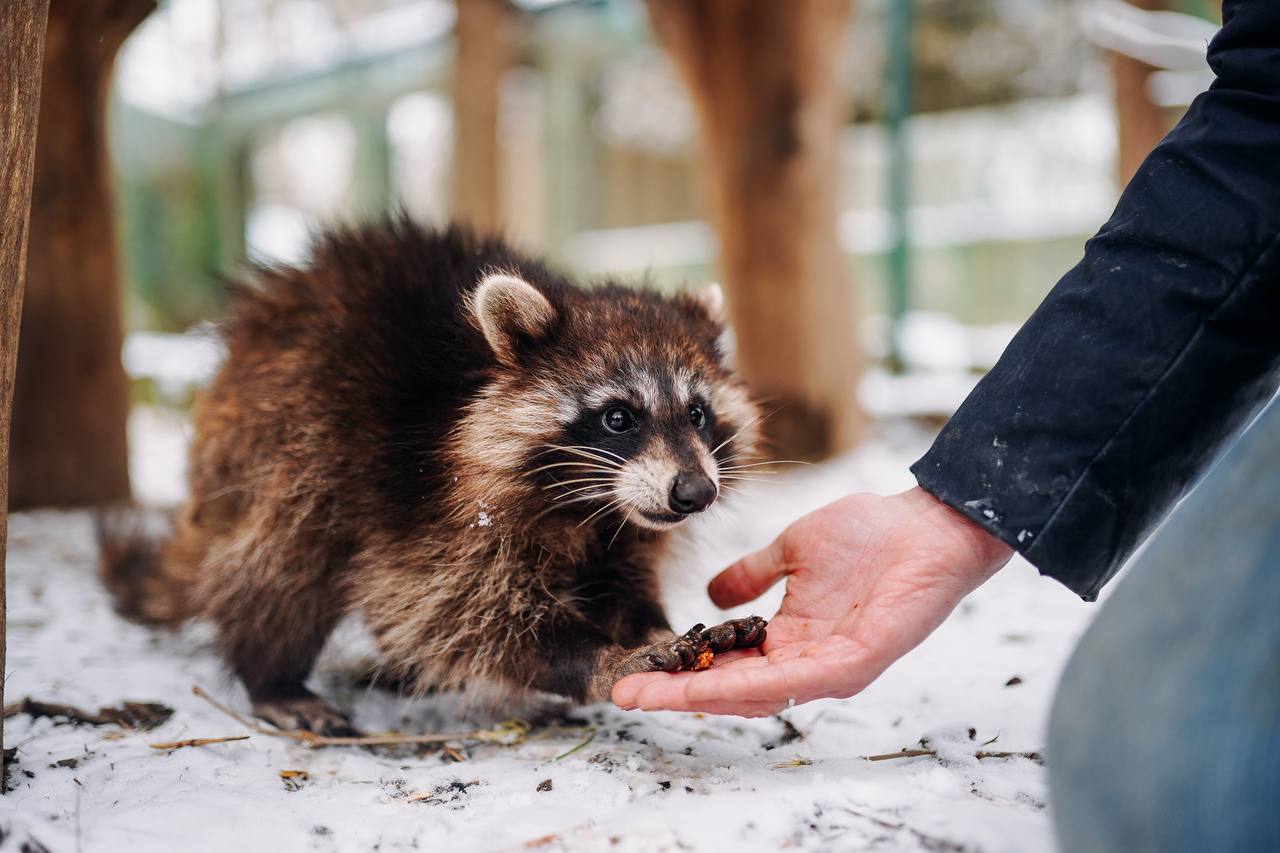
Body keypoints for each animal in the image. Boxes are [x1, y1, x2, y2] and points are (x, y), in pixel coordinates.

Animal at [102, 219, 768, 732]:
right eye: (618, 418)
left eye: (698, 413)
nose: (695, 493)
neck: (588, 505)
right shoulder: (430, 501)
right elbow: (458, 614)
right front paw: (597, 657)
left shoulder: (625, 522)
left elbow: (621, 579)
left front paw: (653, 623)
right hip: (285, 440)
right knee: (285, 559)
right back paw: (272, 675)